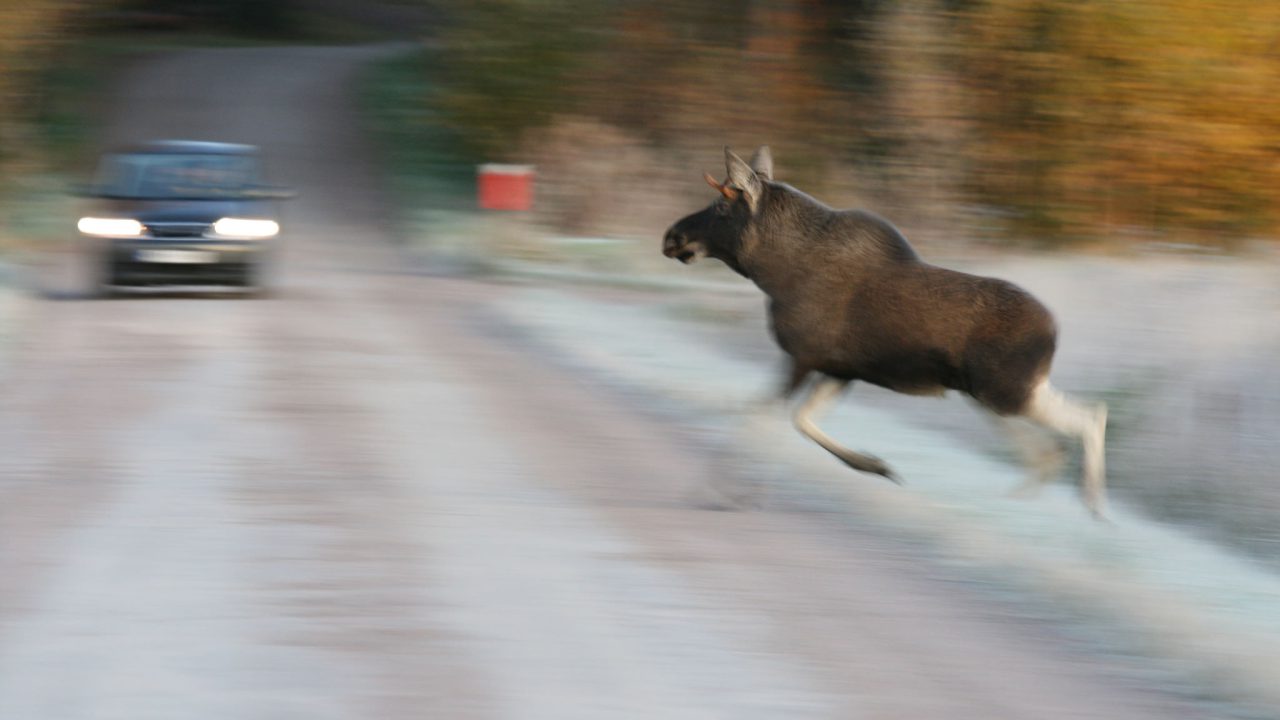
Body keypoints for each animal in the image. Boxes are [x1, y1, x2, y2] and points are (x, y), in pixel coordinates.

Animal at [660, 146, 1111, 515]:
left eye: (721, 209)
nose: (672, 236)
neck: (772, 273)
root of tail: (1054, 331)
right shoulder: (839, 370)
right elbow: (800, 420)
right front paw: (873, 464)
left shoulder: (802, 357)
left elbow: (759, 417)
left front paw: (726, 492)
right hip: (998, 393)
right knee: (1073, 427)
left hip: (1002, 393)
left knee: (1077, 426)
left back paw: (1078, 497)